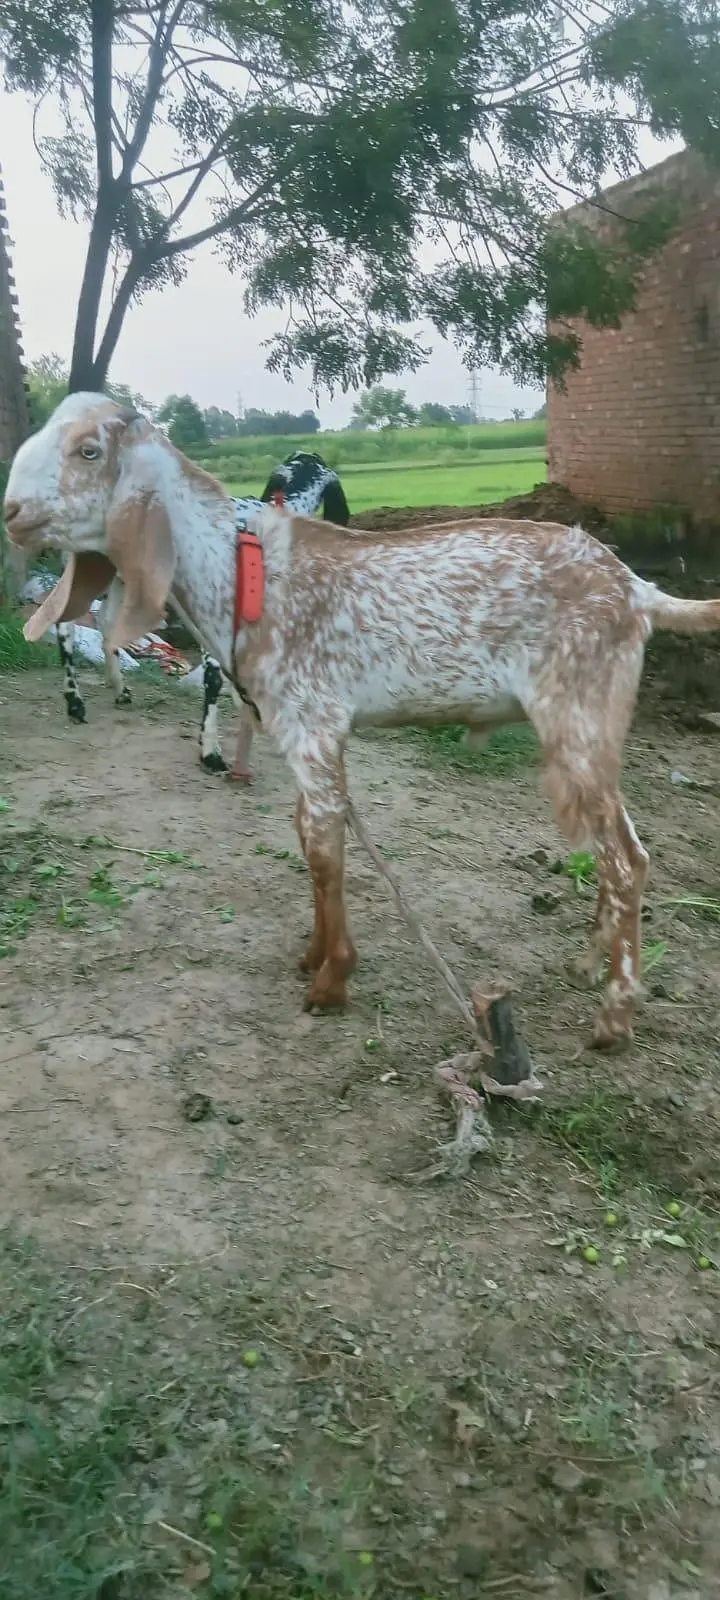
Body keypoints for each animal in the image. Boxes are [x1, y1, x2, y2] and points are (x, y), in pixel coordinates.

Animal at [50, 448, 350, 781]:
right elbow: (214, 680)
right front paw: (211, 751)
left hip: (122, 577)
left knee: (106, 621)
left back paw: (119, 689)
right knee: (65, 624)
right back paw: (74, 702)